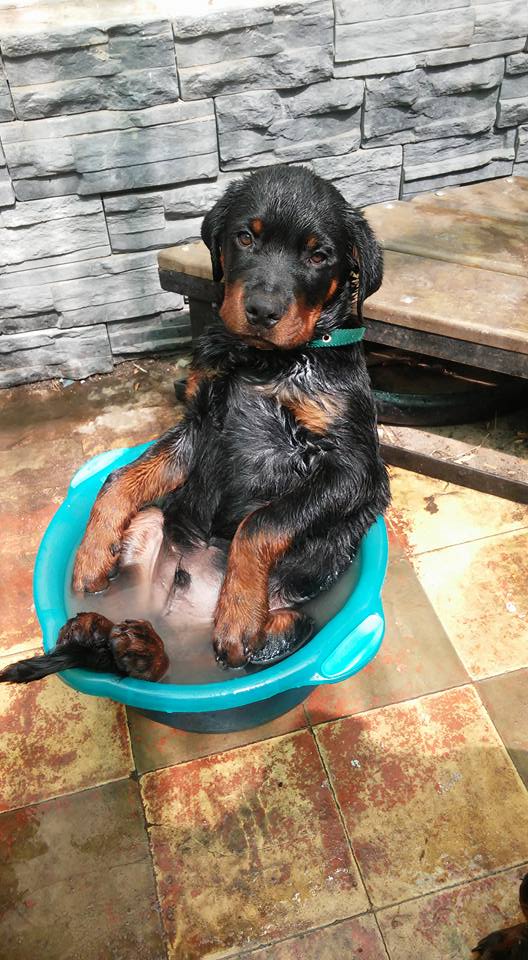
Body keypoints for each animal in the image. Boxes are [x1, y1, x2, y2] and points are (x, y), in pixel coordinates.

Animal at [0, 169, 388, 688]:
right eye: (245, 237)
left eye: (318, 255)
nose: (262, 310)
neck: (265, 361)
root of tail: (185, 617)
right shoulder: (200, 424)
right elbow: (121, 477)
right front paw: (91, 552)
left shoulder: (354, 466)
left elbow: (262, 521)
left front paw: (238, 612)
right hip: (151, 526)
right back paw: (107, 633)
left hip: (297, 621)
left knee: (244, 648)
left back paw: (155, 643)